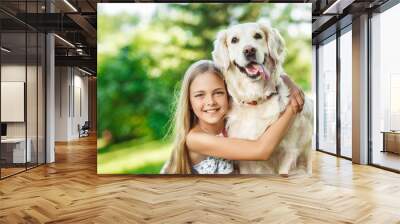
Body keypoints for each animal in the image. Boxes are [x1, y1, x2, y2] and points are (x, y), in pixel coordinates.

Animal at [211, 21, 314, 176]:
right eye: (234, 40)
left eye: (258, 36)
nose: (249, 50)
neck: (256, 100)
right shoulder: (245, 157)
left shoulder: (289, 152)